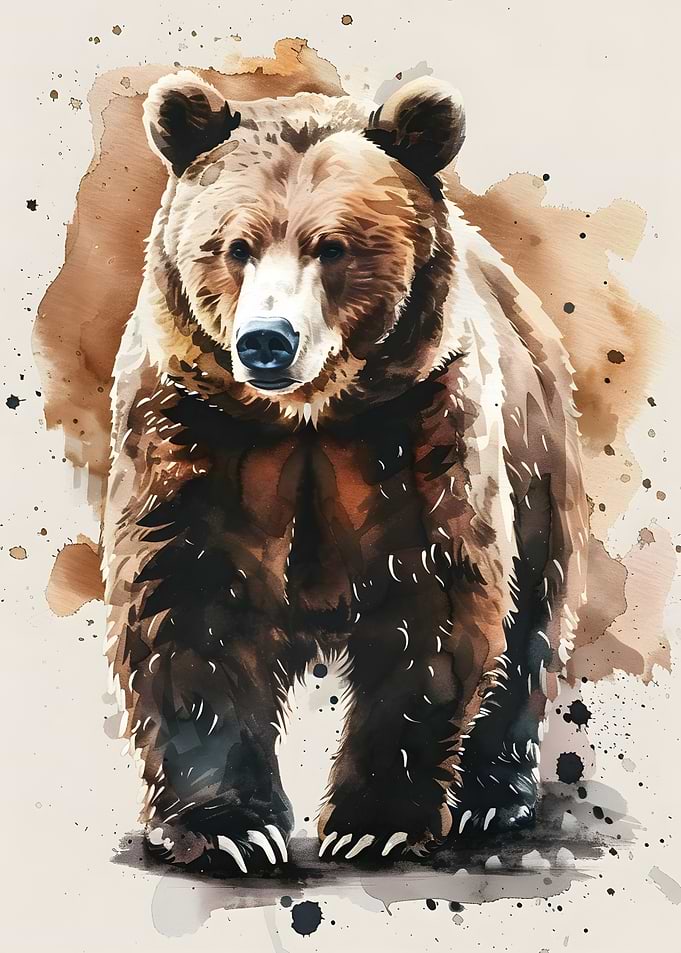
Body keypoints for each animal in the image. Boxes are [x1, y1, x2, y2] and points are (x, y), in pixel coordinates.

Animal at [102, 70, 588, 871]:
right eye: (234, 245)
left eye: (331, 247)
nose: (267, 340)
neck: (308, 420)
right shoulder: (194, 429)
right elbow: (185, 603)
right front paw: (228, 828)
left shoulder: (419, 432)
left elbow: (434, 607)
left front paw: (372, 821)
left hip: (537, 455)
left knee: (531, 628)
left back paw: (492, 798)